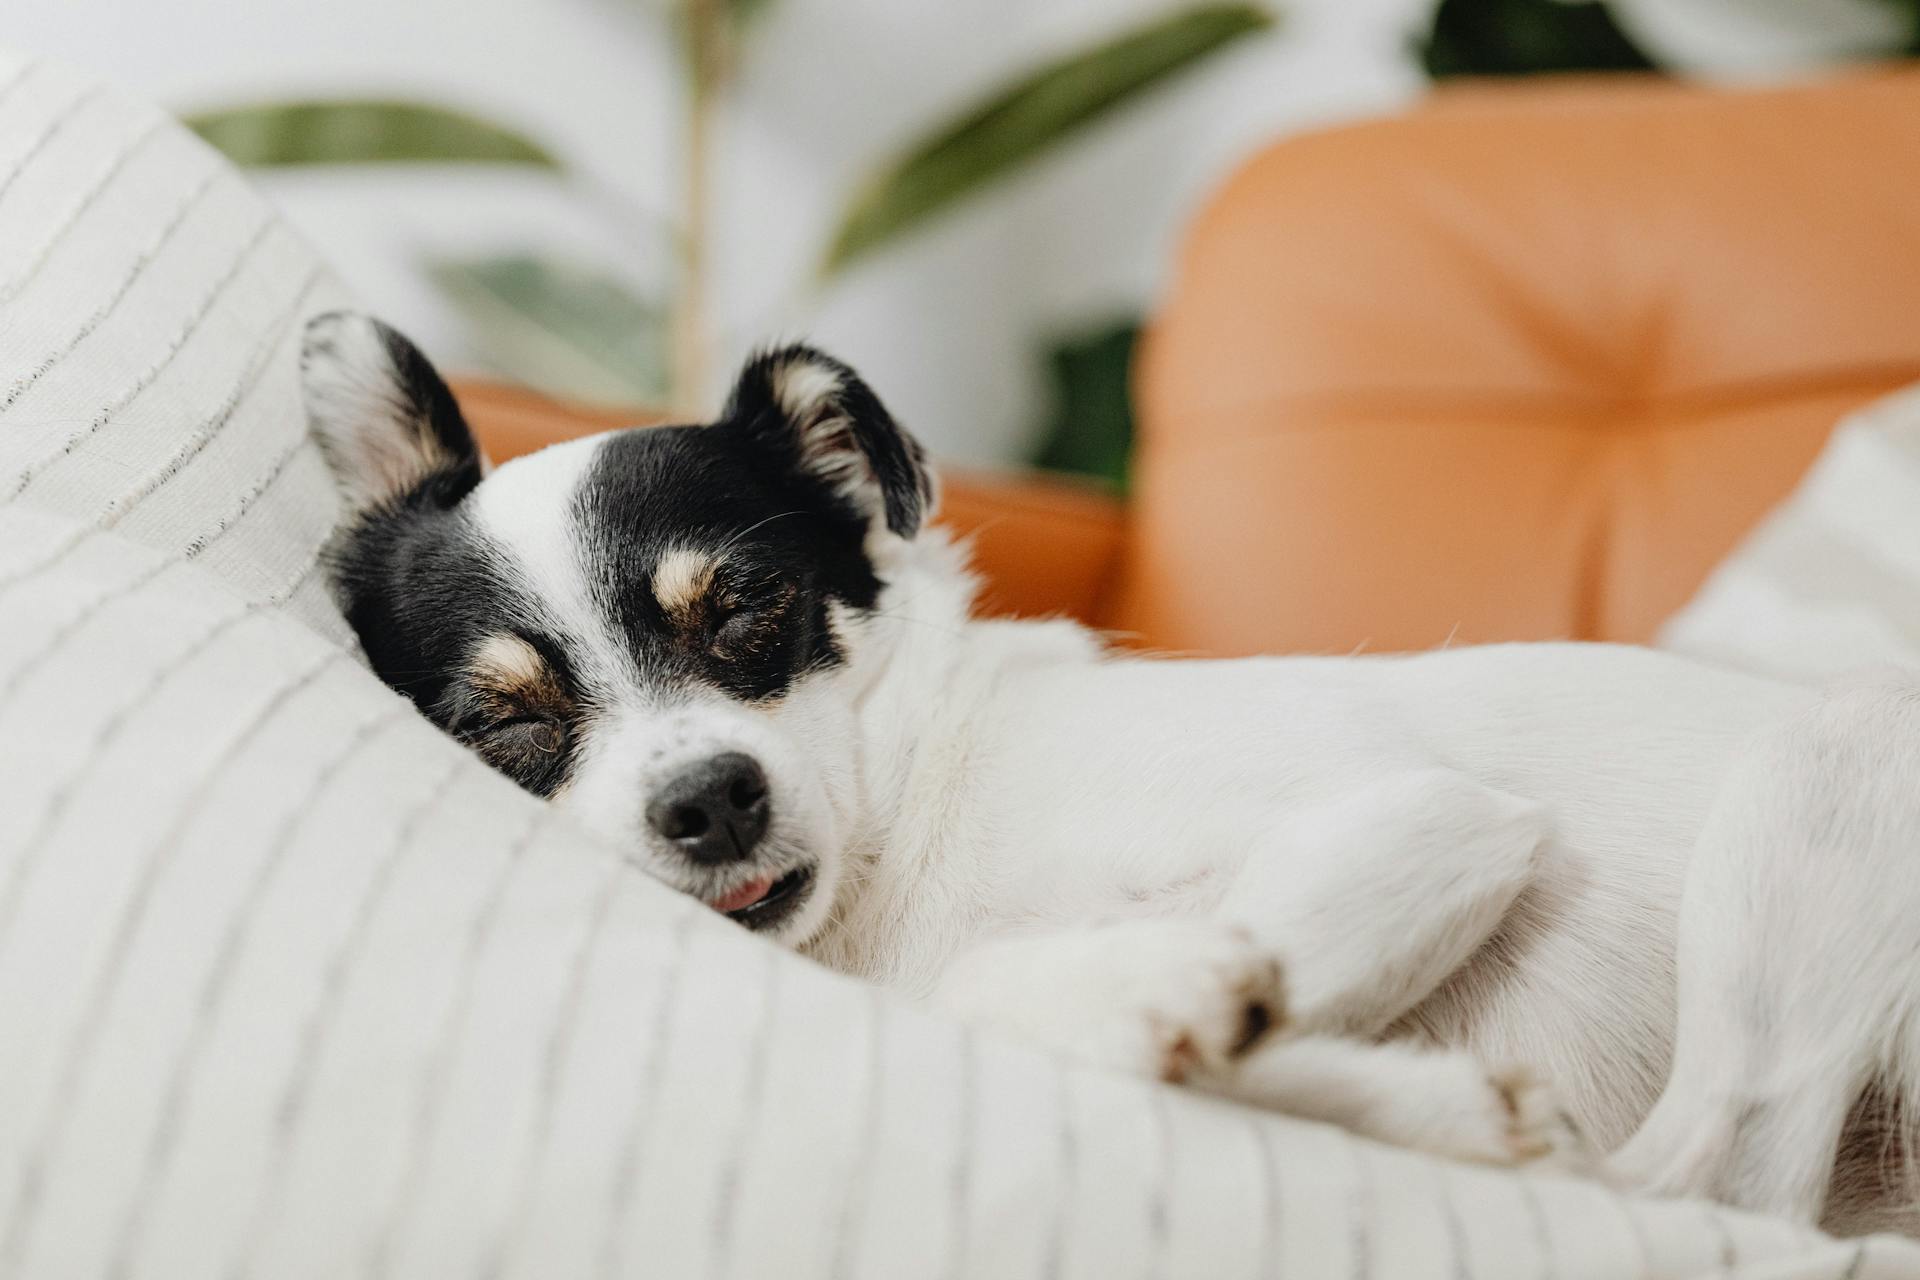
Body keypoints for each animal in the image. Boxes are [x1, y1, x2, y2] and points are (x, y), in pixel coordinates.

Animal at [303, 312, 1920, 1243]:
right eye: (504, 718)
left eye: (748, 609)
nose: (710, 801)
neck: (916, 832)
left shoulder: (1428, 818)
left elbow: (1029, 987)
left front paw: (1186, 997)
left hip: (1830, 755)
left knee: (1713, 1185)